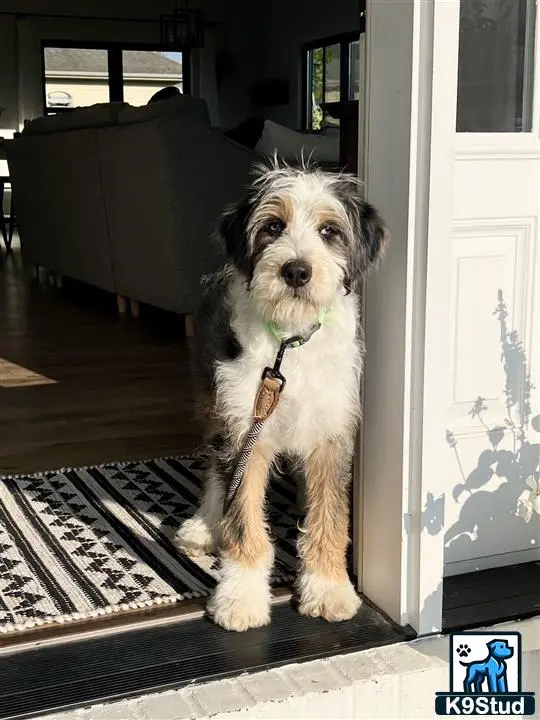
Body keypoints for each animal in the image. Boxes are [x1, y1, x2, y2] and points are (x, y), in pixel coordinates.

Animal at [177, 158, 388, 632]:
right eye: (273, 226)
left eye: (330, 231)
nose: (296, 271)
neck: (289, 345)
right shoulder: (244, 430)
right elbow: (243, 519)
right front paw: (240, 596)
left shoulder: (332, 434)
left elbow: (331, 516)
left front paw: (328, 588)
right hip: (213, 404)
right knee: (215, 470)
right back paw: (204, 524)